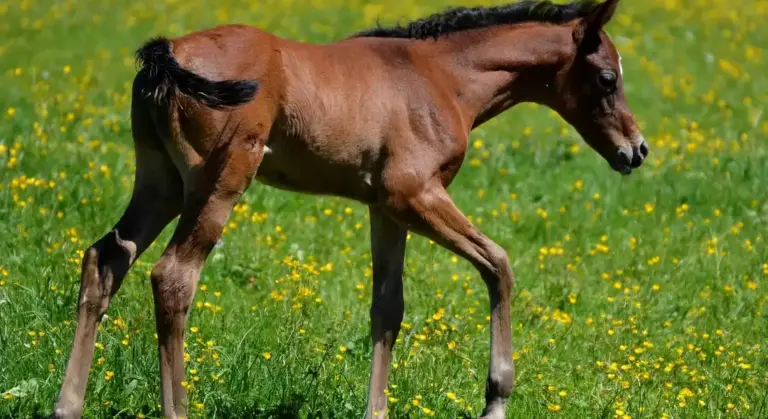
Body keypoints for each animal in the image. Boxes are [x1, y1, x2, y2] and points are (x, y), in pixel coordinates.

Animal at [53, 0, 648, 417]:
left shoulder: (386, 209)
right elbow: (498, 263)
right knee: (174, 277)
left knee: (105, 259)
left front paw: (376, 411)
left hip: (161, 183)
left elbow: (388, 307)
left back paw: (67, 406)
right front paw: (496, 399)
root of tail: (168, 52)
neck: (439, 78)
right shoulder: (416, 195)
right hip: (218, 183)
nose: (636, 151)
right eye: (607, 78)